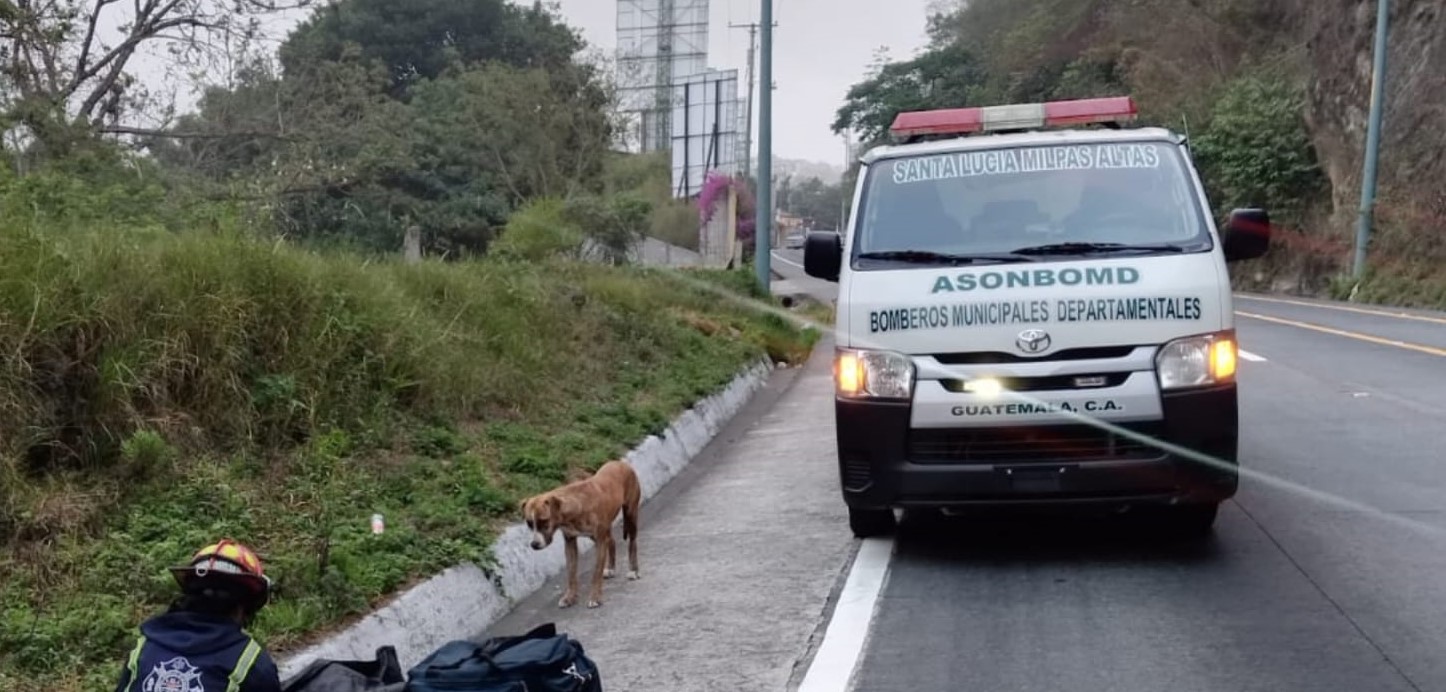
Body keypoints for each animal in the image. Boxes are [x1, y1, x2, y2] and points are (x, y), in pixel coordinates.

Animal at [517, 462, 636, 609]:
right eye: (529, 523)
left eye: (544, 521)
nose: (534, 544)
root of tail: (621, 463)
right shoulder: (570, 542)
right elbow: (571, 573)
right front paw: (570, 597)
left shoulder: (600, 542)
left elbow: (596, 572)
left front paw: (595, 597)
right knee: (611, 541)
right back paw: (611, 568)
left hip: (631, 515)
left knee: (632, 542)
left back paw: (633, 570)